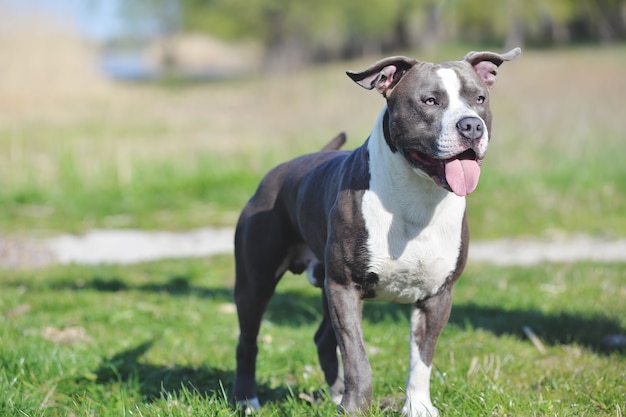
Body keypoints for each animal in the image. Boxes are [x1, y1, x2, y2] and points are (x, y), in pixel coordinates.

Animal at [232, 48, 520, 412]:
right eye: (430, 100)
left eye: (479, 99)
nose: (471, 125)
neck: (419, 196)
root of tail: (278, 172)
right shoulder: (345, 288)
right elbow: (357, 357)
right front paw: (356, 408)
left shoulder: (437, 296)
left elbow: (421, 361)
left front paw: (418, 408)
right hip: (256, 283)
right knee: (248, 340)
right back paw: (247, 399)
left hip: (323, 282)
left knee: (323, 339)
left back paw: (335, 395)